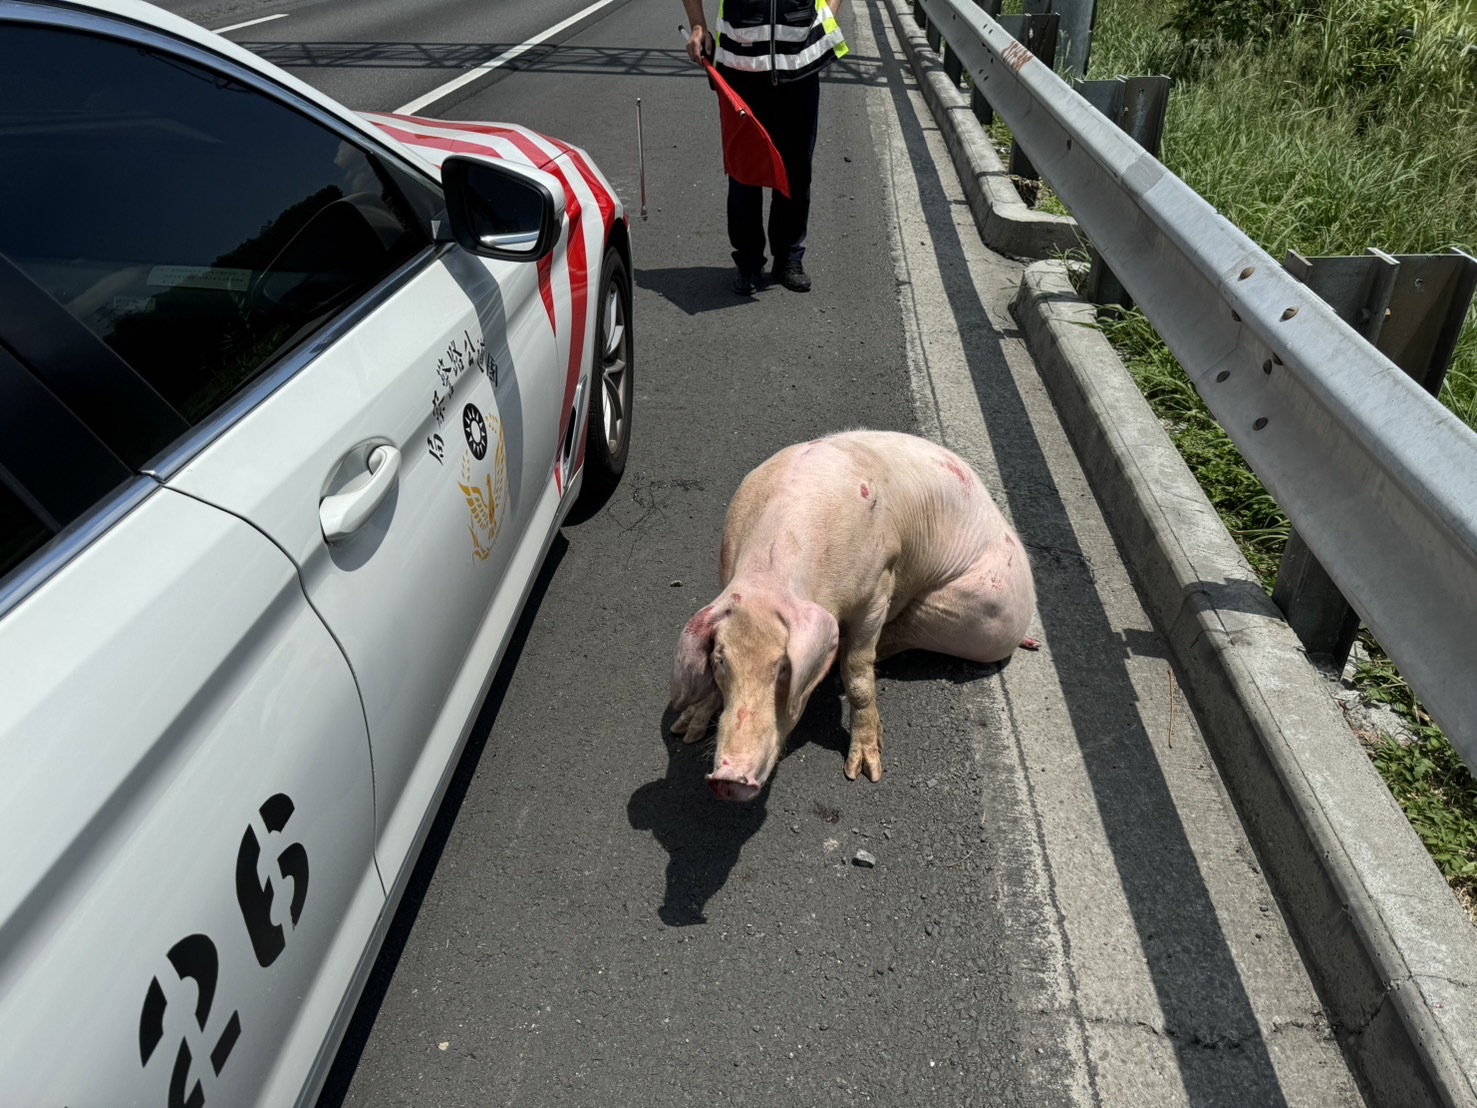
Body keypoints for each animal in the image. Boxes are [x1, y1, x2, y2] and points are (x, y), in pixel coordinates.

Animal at [670, 428, 1039, 803]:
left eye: (784, 667)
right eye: (719, 661)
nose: (727, 777)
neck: (769, 577)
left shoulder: (878, 586)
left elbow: (859, 672)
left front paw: (865, 771)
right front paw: (684, 731)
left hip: (975, 614)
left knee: (899, 635)